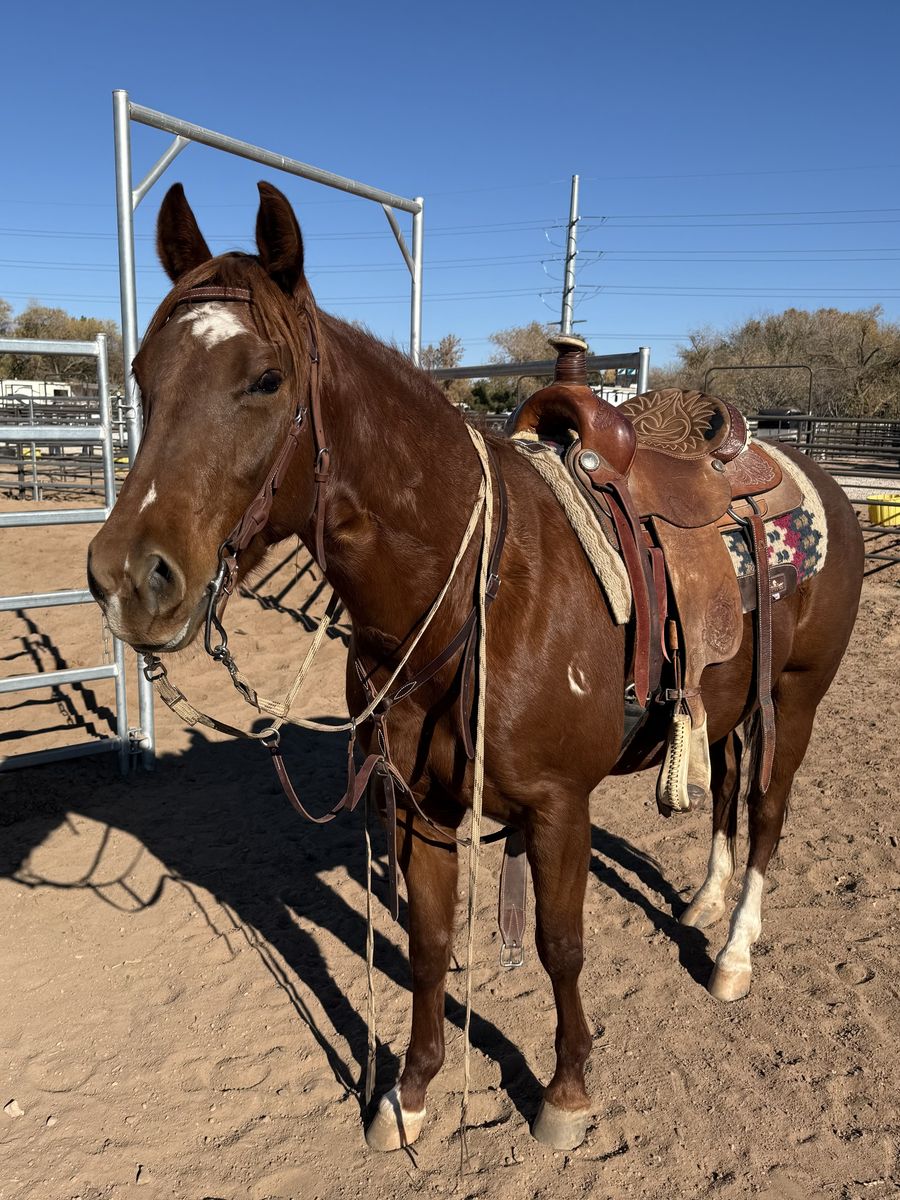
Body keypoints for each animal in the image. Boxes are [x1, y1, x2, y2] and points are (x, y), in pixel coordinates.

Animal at [86, 180, 864, 1153]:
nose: (127, 579)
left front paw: (566, 1092)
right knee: (724, 783)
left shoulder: (559, 808)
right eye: (142, 376)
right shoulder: (416, 804)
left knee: (766, 810)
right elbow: (426, 944)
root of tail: (815, 473)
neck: (473, 596)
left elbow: (561, 947)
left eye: (267, 379)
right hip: (726, 701)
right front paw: (411, 1091)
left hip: (796, 699)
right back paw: (703, 904)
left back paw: (733, 953)